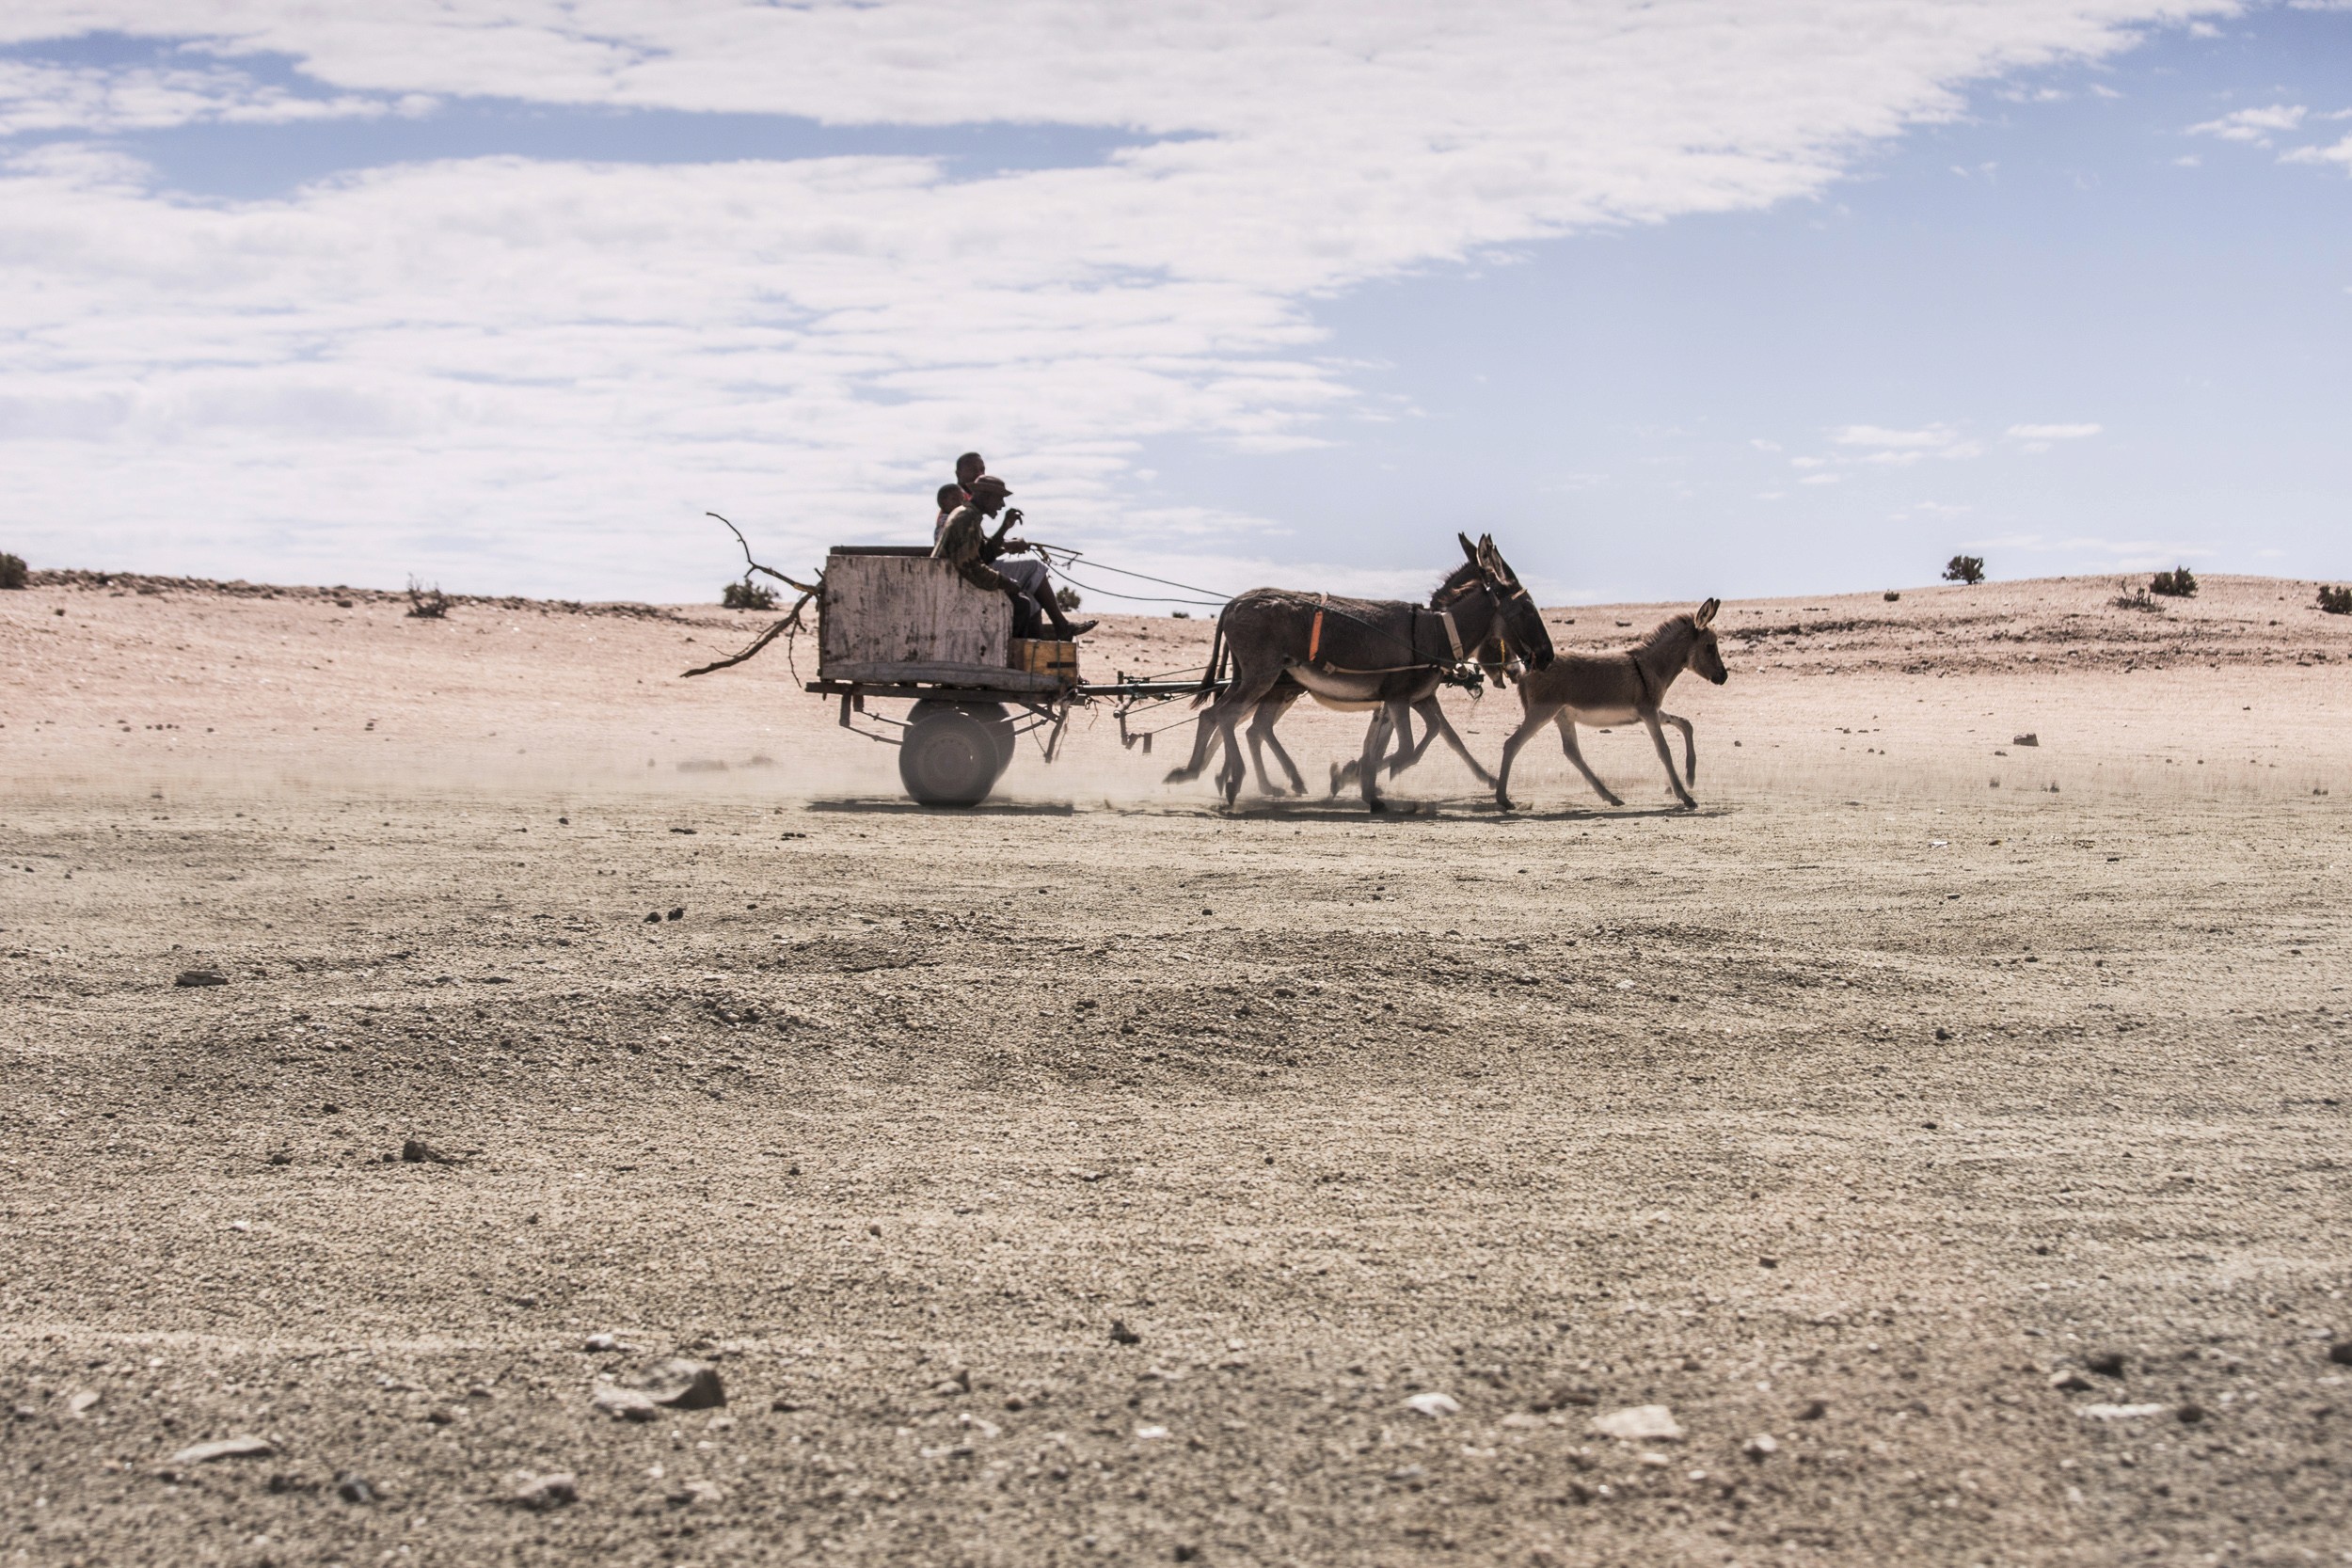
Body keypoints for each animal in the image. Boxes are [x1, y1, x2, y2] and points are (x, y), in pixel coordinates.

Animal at [1492, 599, 1727, 811]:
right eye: (1710, 646)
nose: (1724, 677)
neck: (1650, 667)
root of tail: (1526, 672)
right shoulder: (1649, 714)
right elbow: (1664, 750)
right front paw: (1685, 796)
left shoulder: (1653, 712)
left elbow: (1686, 724)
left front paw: (1690, 777)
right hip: (1541, 712)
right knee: (1512, 744)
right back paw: (1503, 799)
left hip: (1562, 716)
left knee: (1572, 752)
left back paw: (1611, 796)